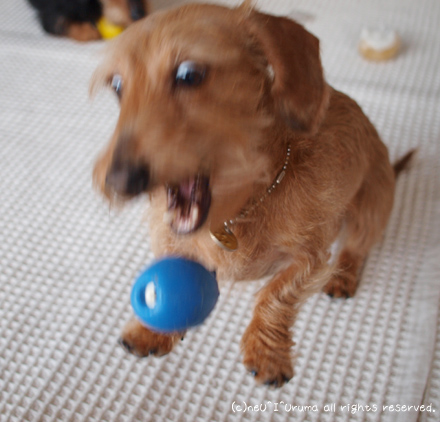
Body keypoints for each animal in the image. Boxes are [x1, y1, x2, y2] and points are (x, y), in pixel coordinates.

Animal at [91, 2, 414, 386]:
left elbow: (278, 293)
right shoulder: (170, 235)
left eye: (189, 75)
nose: (118, 182)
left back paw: (344, 275)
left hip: (371, 208)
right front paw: (150, 330)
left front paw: (267, 352)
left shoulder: (310, 257)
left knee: (356, 247)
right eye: (117, 86)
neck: (240, 209)